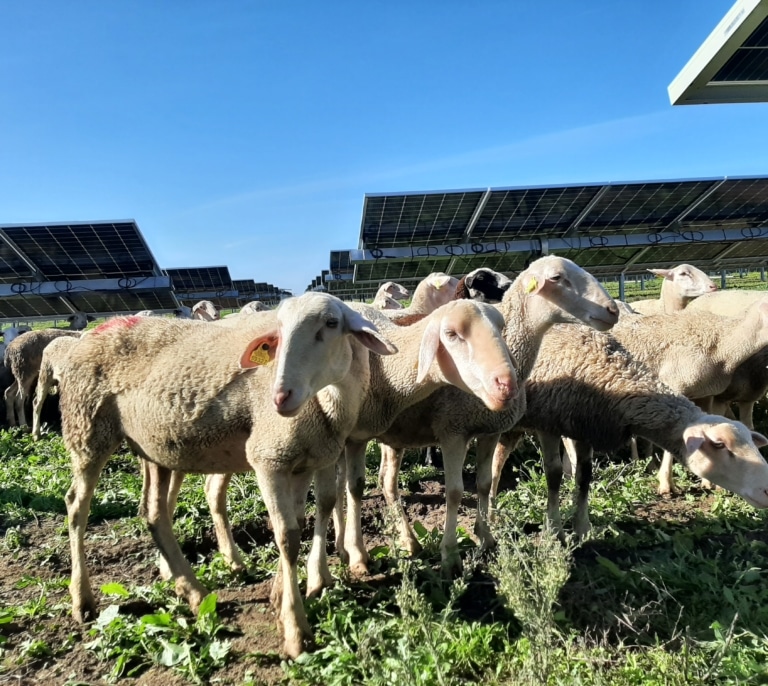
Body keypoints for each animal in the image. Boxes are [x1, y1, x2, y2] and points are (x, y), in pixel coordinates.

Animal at [62, 293, 399, 659]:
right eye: (278, 331)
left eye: (332, 323)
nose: (280, 396)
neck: (328, 401)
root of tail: (99, 329)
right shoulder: (268, 457)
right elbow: (287, 536)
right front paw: (295, 630)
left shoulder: (312, 457)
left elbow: (314, 511)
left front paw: (296, 588)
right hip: (87, 428)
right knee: (76, 507)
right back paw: (83, 600)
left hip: (152, 446)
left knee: (153, 512)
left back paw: (193, 592)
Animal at [352, 256, 620, 571]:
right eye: (556, 278)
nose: (613, 310)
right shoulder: (452, 431)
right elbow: (455, 492)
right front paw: (451, 555)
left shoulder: (489, 430)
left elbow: (484, 482)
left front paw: (486, 538)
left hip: (392, 433)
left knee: (385, 481)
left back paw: (407, 540)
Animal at [489, 324, 768, 539]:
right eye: (719, 444)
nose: (767, 491)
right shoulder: (549, 423)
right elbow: (555, 475)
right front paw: (554, 530)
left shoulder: (584, 426)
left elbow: (584, 476)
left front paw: (582, 528)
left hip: (511, 427)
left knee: (496, 463)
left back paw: (491, 512)